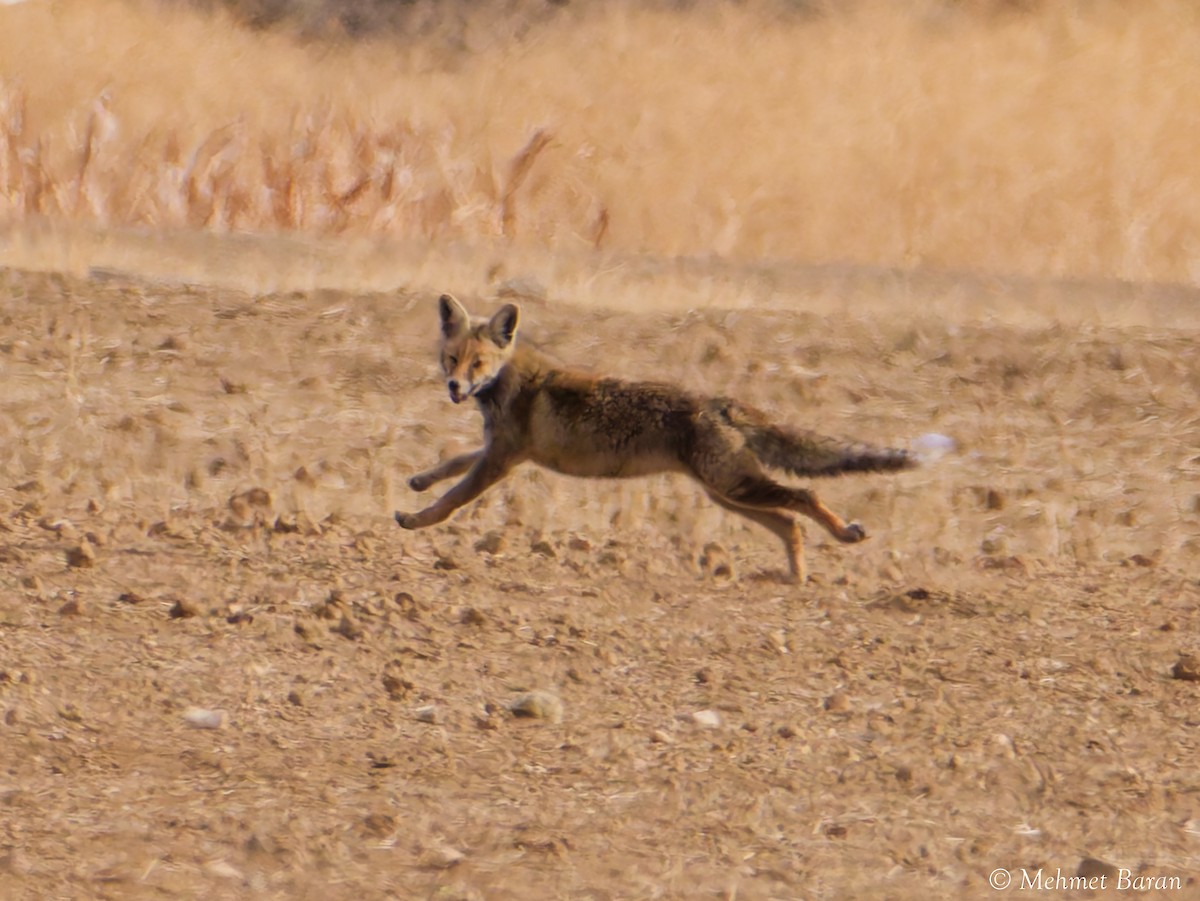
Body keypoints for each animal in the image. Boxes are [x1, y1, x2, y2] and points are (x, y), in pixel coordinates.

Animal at [395, 294, 917, 583]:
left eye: (478, 363)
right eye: (451, 359)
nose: (455, 388)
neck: (509, 384)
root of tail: (721, 402)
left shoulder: (503, 459)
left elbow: (452, 500)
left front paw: (416, 519)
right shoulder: (505, 451)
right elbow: (453, 463)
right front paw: (419, 481)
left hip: (735, 487)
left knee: (806, 496)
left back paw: (844, 534)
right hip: (728, 495)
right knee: (789, 522)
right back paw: (796, 576)